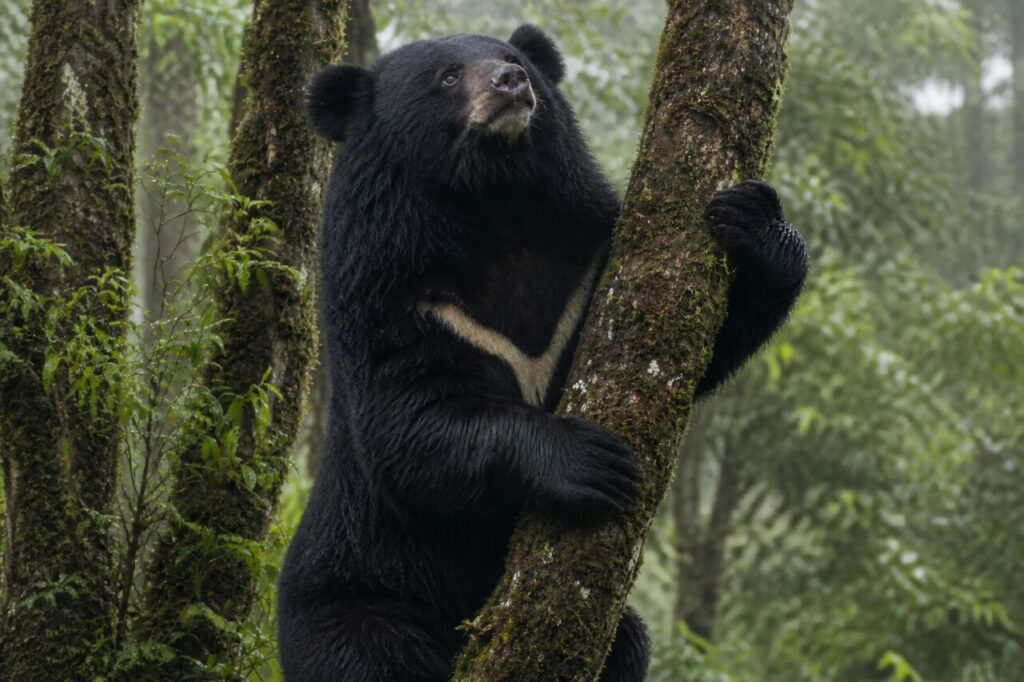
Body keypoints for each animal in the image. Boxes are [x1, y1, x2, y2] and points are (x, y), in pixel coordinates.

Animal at [277, 24, 808, 682]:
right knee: (371, 657)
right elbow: (408, 420)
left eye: (512, 59)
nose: (511, 83)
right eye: (447, 76)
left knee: (627, 643)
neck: (494, 205)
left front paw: (755, 223)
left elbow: (691, 343)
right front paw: (591, 460)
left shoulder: (585, 272)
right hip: (359, 595)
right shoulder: (394, 295)